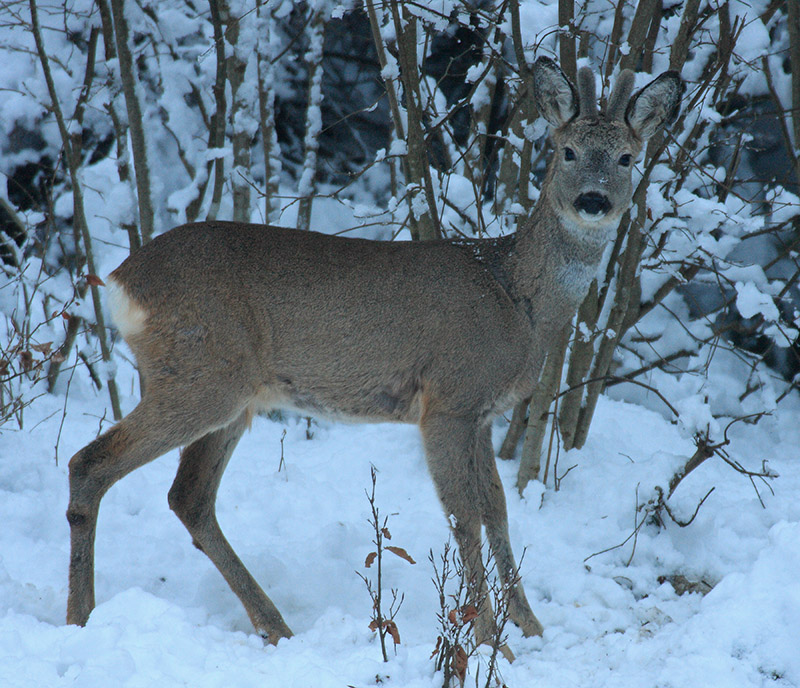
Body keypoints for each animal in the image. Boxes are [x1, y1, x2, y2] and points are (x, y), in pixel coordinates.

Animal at [65, 57, 684, 644]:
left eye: (628, 157)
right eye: (568, 149)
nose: (593, 200)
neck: (517, 298)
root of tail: (121, 281)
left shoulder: (483, 414)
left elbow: (497, 509)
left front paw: (530, 629)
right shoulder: (448, 399)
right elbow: (464, 516)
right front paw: (490, 640)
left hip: (231, 395)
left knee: (188, 497)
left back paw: (275, 626)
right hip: (202, 375)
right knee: (89, 462)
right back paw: (81, 617)